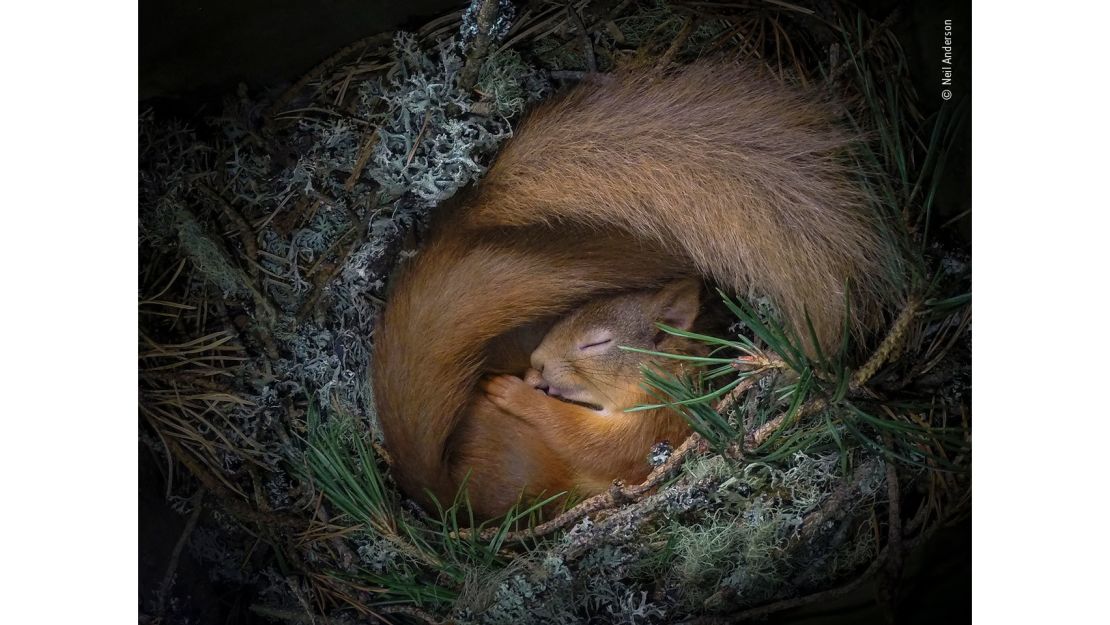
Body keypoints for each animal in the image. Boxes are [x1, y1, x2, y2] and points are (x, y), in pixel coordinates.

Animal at [372, 63, 892, 521]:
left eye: (598, 343)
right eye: (565, 318)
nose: (536, 364)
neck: (666, 373)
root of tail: (442, 497)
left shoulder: (655, 423)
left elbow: (593, 443)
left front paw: (516, 392)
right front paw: (529, 380)